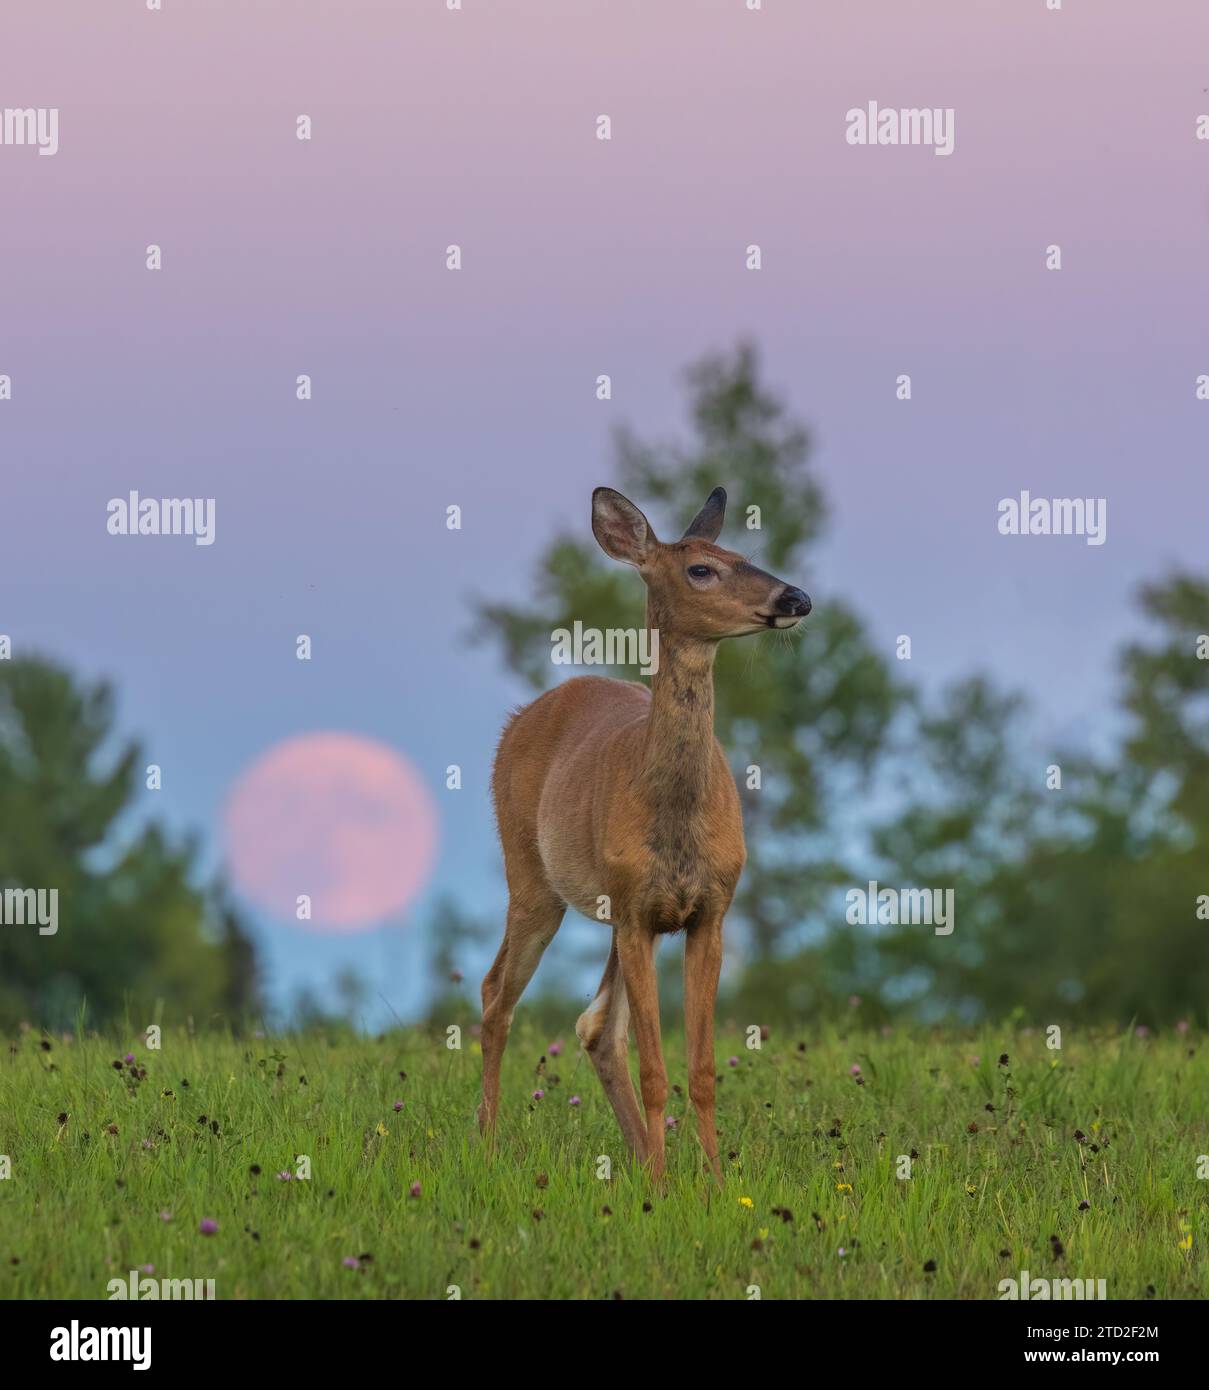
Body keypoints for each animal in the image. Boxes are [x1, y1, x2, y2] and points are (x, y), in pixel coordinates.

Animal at [475, 483, 811, 1178]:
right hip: (532, 878)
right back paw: (490, 1144)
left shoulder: (708, 910)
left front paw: (710, 1181)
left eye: (744, 553)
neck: (676, 812)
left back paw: (637, 1157)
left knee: (596, 1025)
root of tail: (521, 717)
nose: (796, 598)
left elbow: (701, 1069)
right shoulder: (635, 912)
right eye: (701, 569)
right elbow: (657, 1070)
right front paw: (665, 1181)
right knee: (497, 995)